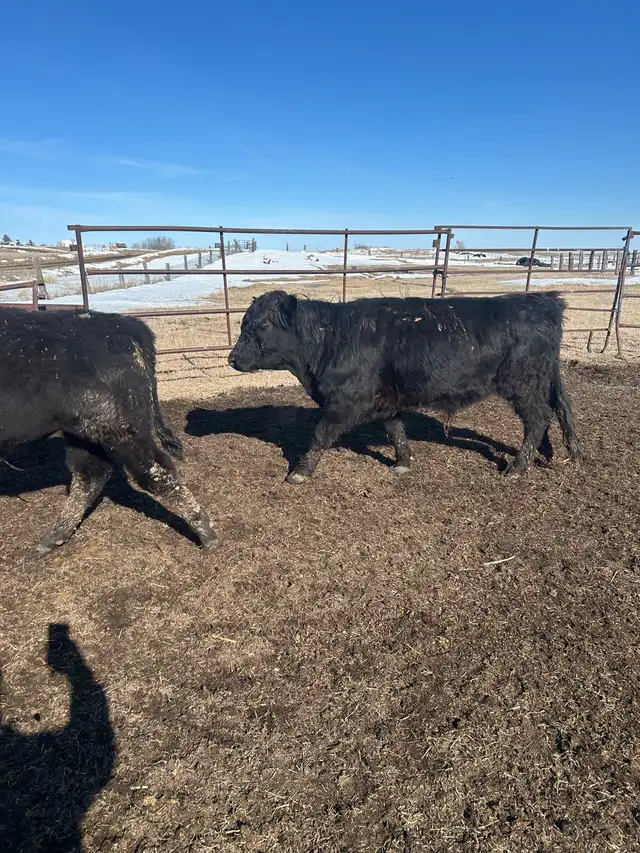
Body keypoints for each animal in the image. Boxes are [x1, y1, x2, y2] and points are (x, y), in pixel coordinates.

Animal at [0, 307, 217, 555]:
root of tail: (120, 323)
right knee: (90, 474)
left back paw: (207, 535)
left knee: (156, 471)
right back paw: (52, 538)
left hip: (120, 430)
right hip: (83, 433)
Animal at [228, 290, 580, 483]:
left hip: (522, 382)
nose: (232, 358)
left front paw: (299, 472)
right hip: (543, 379)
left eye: (262, 325)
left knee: (537, 419)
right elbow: (395, 430)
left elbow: (320, 435)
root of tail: (542, 301)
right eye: (243, 322)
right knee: (554, 412)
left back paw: (518, 468)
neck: (331, 339)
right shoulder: (385, 400)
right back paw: (551, 454)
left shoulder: (346, 401)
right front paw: (403, 464)